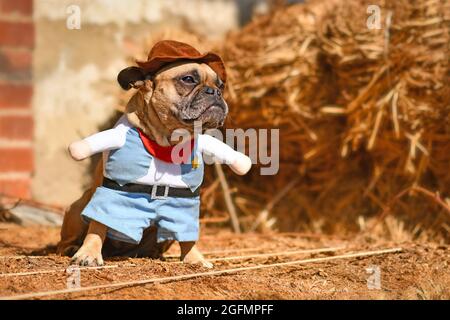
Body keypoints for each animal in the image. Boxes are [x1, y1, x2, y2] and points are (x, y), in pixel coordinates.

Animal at [56, 41, 251, 268]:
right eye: (188, 79)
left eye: (221, 86)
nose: (215, 92)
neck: (167, 144)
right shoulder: (108, 192)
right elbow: (97, 225)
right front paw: (89, 254)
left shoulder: (185, 205)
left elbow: (188, 236)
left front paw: (194, 258)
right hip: (79, 206)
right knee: (67, 239)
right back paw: (71, 248)